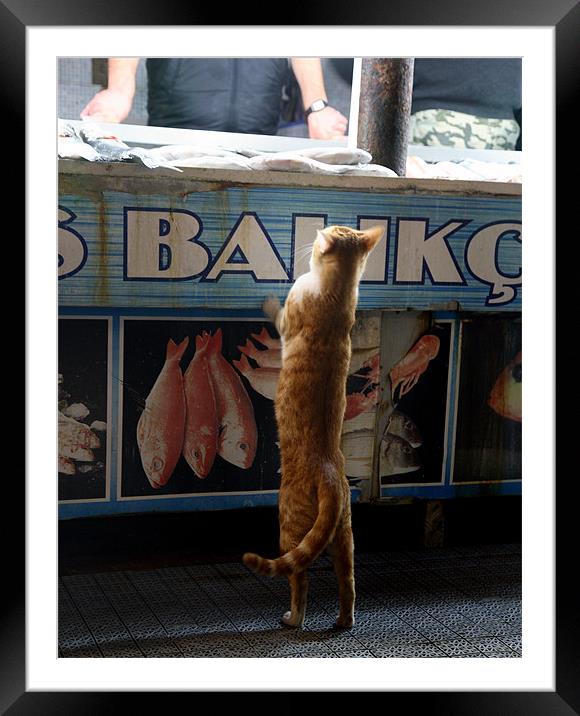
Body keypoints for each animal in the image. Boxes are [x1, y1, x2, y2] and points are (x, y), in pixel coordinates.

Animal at [242, 224, 382, 628]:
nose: (319, 228)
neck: (338, 293)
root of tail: (331, 477)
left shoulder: (288, 320)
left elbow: (278, 315)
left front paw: (269, 301)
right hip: (344, 537)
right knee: (347, 583)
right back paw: (343, 621)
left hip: (289, 527)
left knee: (298, 578)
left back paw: (293, 618)